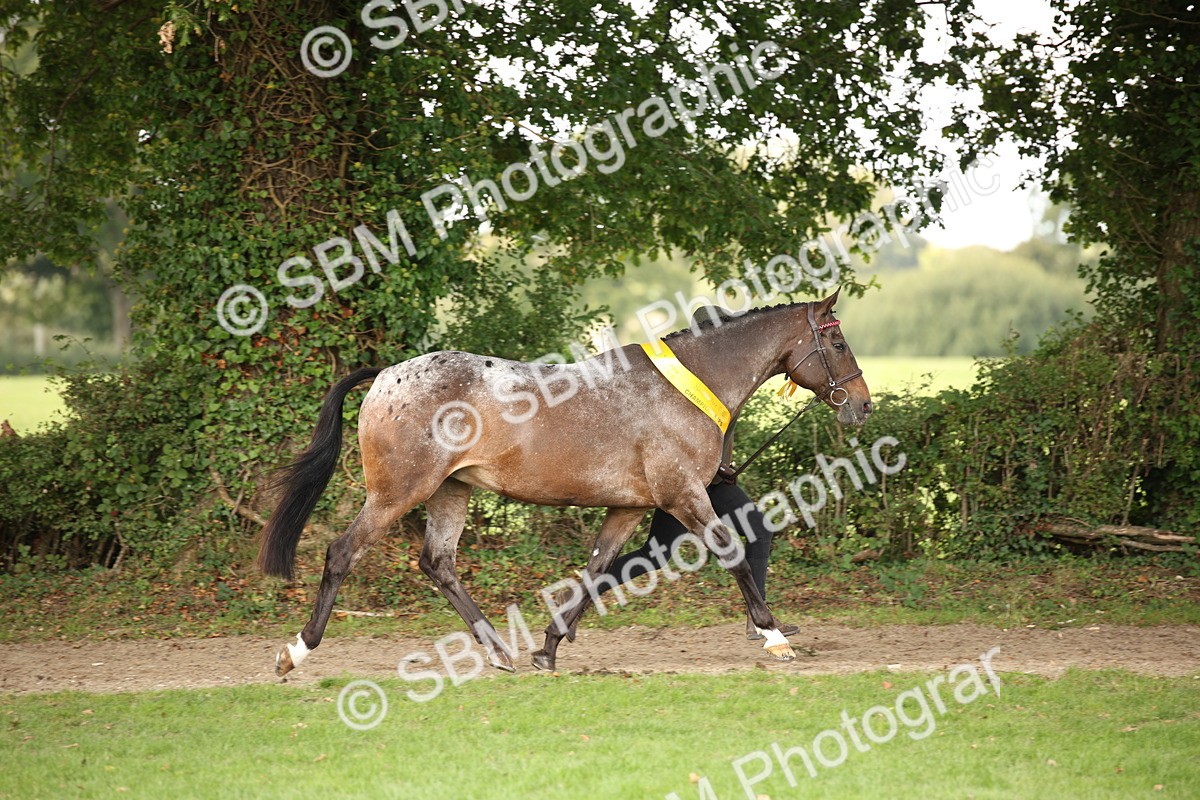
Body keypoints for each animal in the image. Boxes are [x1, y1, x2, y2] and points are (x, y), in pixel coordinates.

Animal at [259, 289, 871, 675]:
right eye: (838, 343)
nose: (862, 405)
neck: (687, 385)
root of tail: (386, 374)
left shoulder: (629, 508)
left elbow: (597, 570)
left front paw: (549, 648)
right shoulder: (685, 496)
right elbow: (734, 555)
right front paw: (774, 637)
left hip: (451, 491)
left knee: (438, 563)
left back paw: (499, 651)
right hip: (397, 493)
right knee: (343, 553)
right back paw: (296, 651)